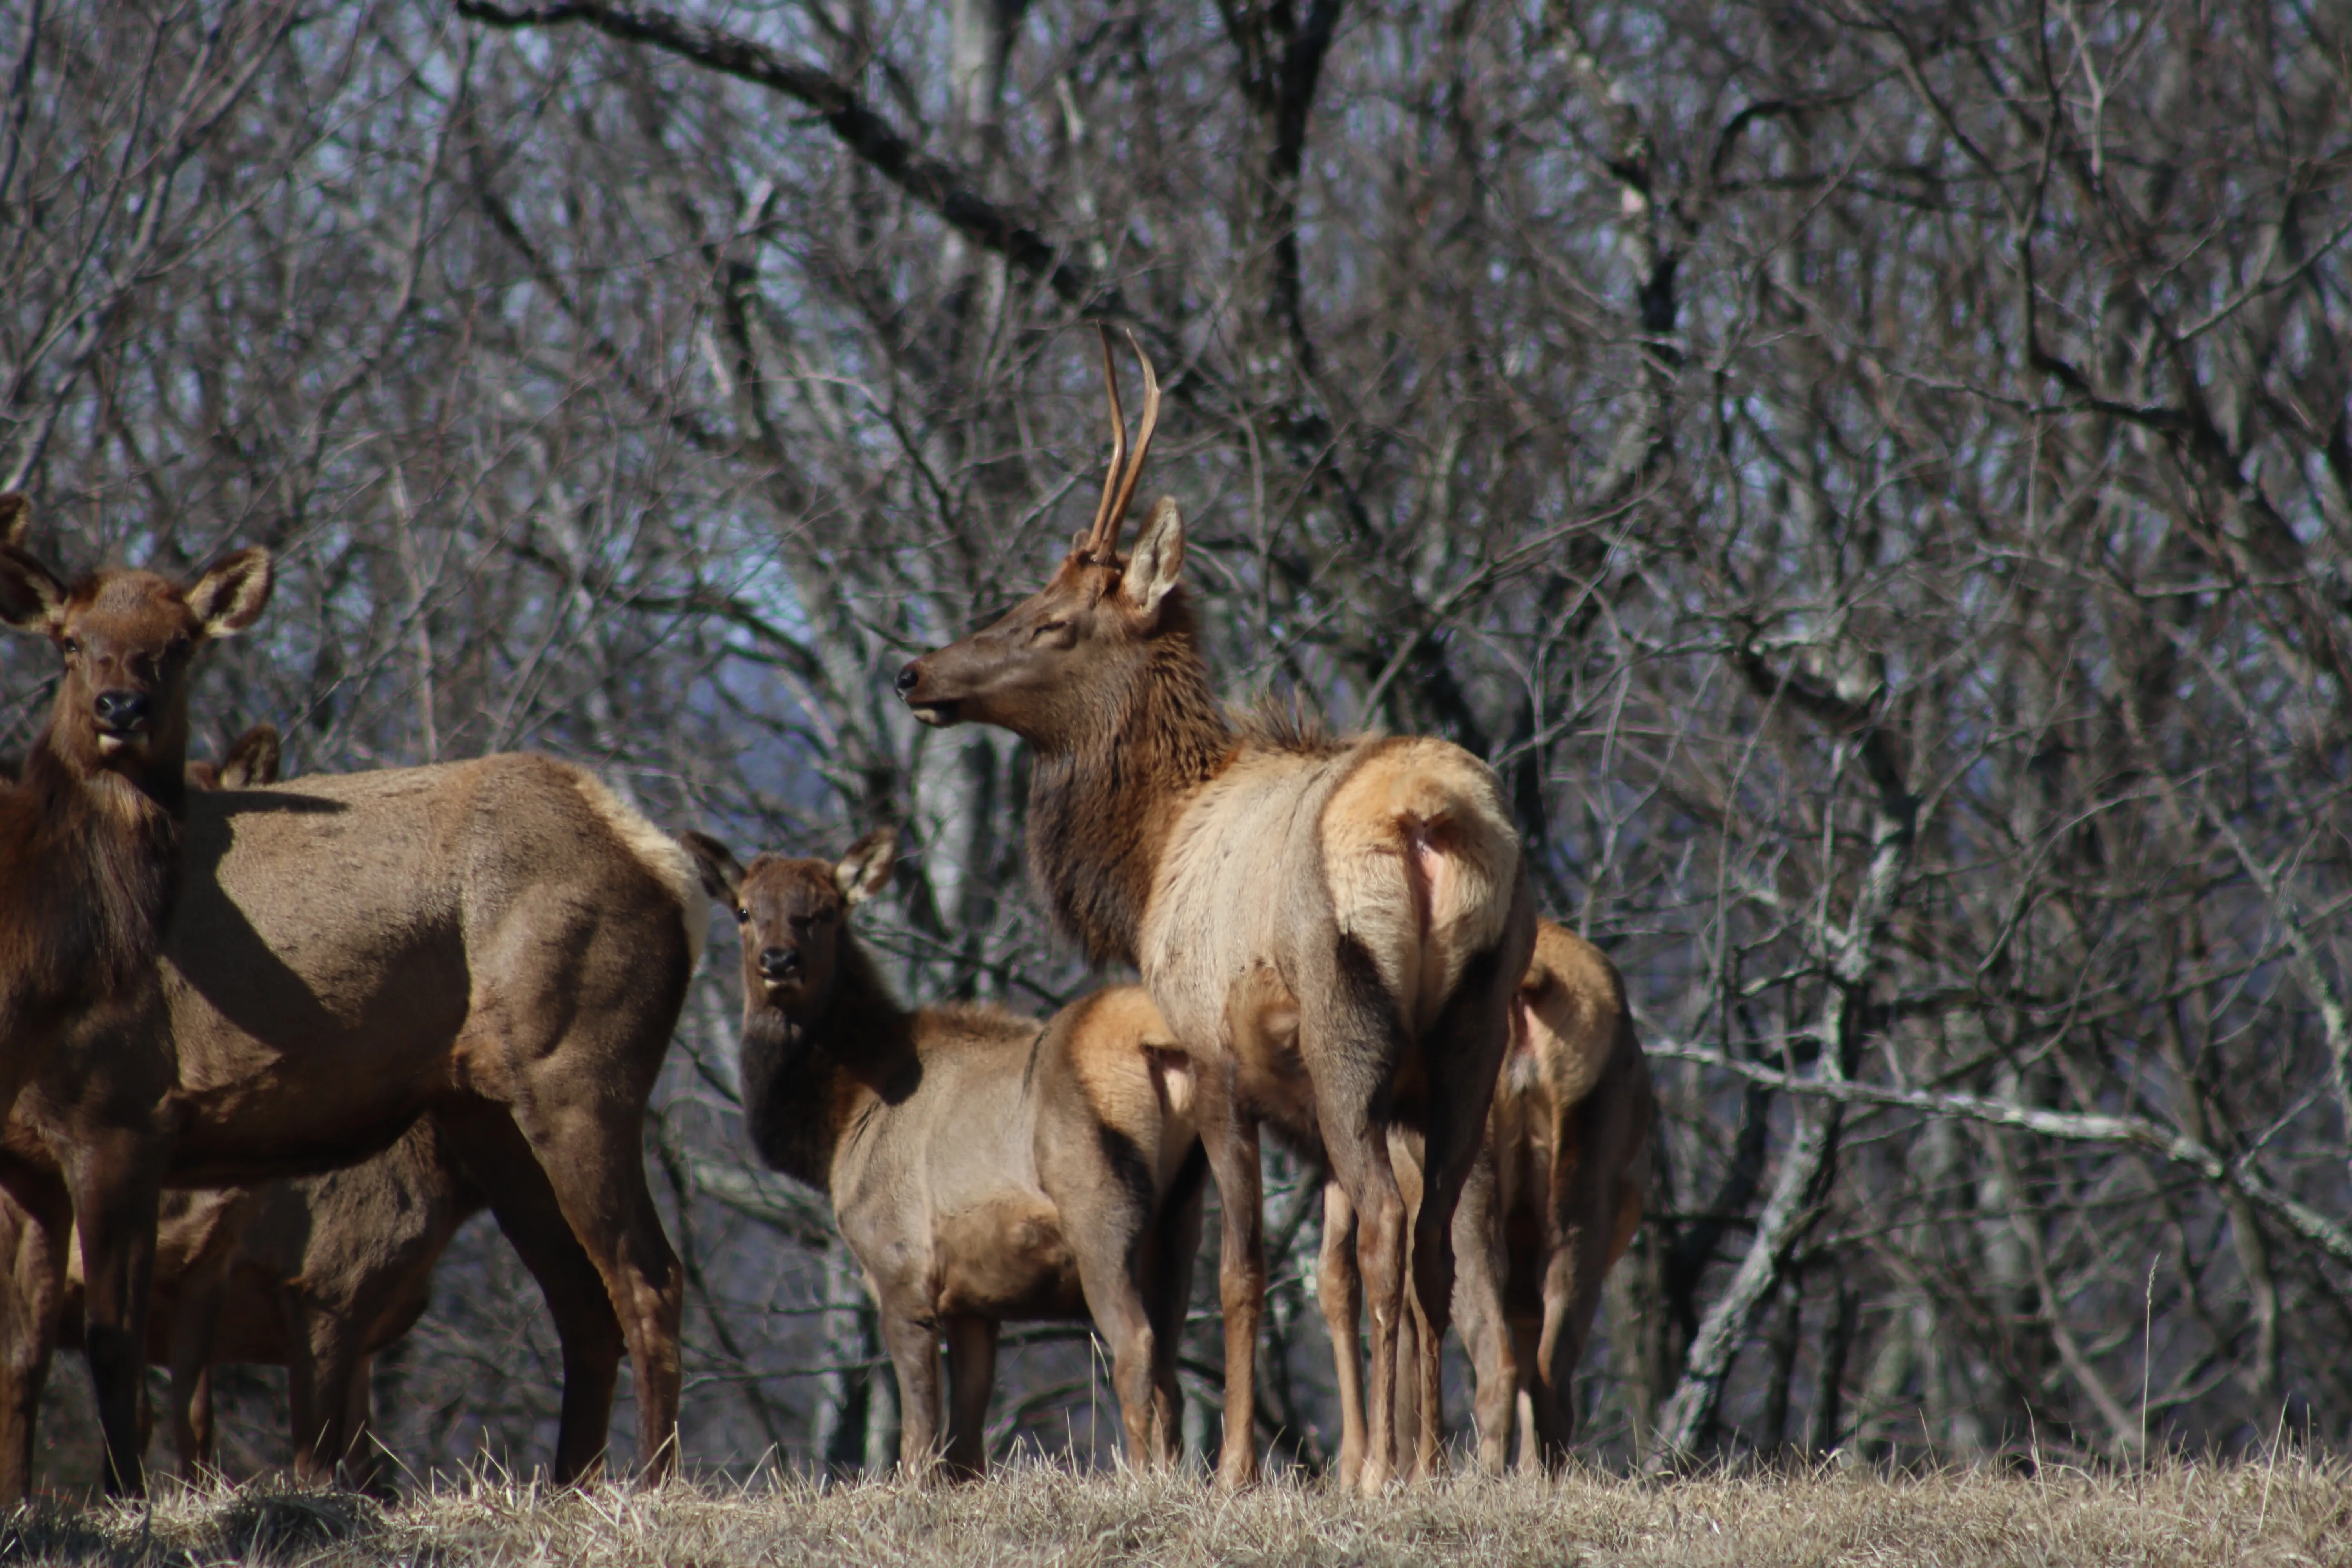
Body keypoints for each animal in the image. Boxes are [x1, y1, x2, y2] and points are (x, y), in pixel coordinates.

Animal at [681, 827, 1207, 1477]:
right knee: (1172, 1369)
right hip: (1183, 1217)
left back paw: (1140, 1477)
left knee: (1136, 1348)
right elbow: (966, 1442)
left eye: (825, 911)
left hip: (1100, 1207)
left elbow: (919, 1430)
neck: (839, 1122)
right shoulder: (974, 1302)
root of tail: (1157, 1043)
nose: (779, 961)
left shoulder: (898, 1262)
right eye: (746, 911)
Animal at [895, 331, 1536, 1492]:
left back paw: (1384, 1469)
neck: (1149, 858)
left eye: (1051, 621)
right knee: (1428, 1244)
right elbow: (1330, 1271)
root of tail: (1430, 820)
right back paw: (1422, 1462)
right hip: (1471, 1030)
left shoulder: (1214, 1055)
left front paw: (1237, 1465)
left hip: (1345, 1021)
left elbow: (1236, 1274)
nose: (916, 671)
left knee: (1389, 1224)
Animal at [1321, 919, 1653, 1479]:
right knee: (1550, 1376)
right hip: (1581, 1197)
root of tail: (1531, 987)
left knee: (1496, 1366)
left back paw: (1471, 1477)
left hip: (1466, 1189)